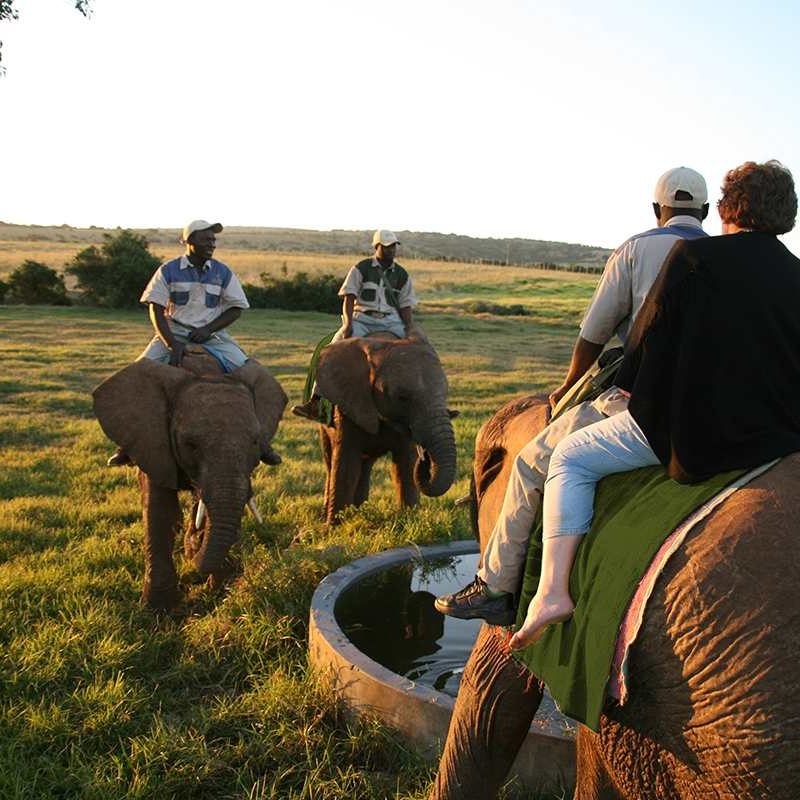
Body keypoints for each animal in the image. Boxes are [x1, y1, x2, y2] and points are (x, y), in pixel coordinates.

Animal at [94, 354, 288, 608]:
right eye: (191, 444)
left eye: (255, 442)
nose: (195, 565)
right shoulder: (151, 440)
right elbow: (161, 511)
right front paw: (158, 608)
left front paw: (219, 588)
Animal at [316, 332, 460, 524]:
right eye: (402, 397)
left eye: (445, 394)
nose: (425, 455)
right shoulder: (349, 402)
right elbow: (346, 465)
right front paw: (334, 526)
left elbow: (405, 466)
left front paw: (407, 520)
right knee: (330, 461)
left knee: (365, 466)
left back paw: (359, 510)